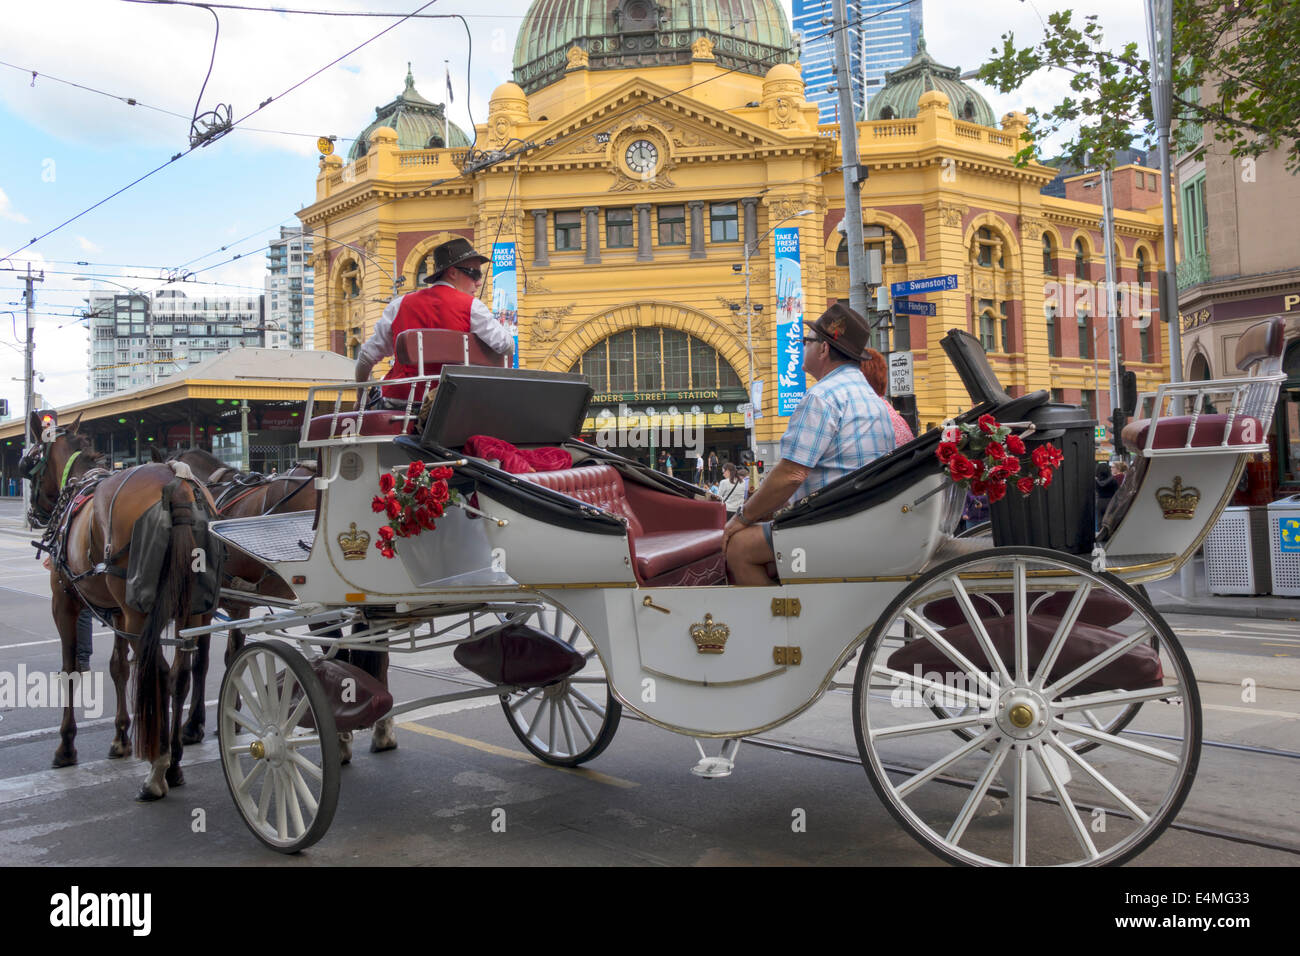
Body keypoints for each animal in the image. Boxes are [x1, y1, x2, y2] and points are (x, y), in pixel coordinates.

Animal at [22, 411, 215, 801]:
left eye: (29, 462)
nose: (32, 514)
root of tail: (176, 484)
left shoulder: (64, 602)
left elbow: (70, 669)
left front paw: (66, 746)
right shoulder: (115, 612)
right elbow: (118, 667)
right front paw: (121, 736)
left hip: (141, 612)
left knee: (159, 673)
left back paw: (157, 771)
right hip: (189, 610)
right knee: (180, 676)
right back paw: (174, 763)